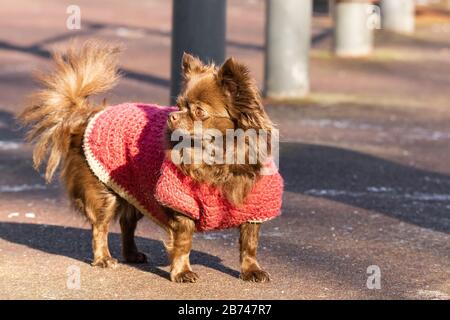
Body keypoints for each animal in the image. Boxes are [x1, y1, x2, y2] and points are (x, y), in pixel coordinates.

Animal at [19, 40, 274, 282]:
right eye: (179, 105)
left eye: (199, 112)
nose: (173, 116)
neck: (217, 162)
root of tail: (86, 116)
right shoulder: (181, 203)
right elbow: (184, 242)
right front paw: (182, 272)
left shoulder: (255, 207)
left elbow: (249, 243)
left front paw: (251, 270)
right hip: (104, 194)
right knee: (100, 227)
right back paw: (104, 259)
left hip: (134, 188)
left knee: (127, 223)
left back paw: (131, 254)